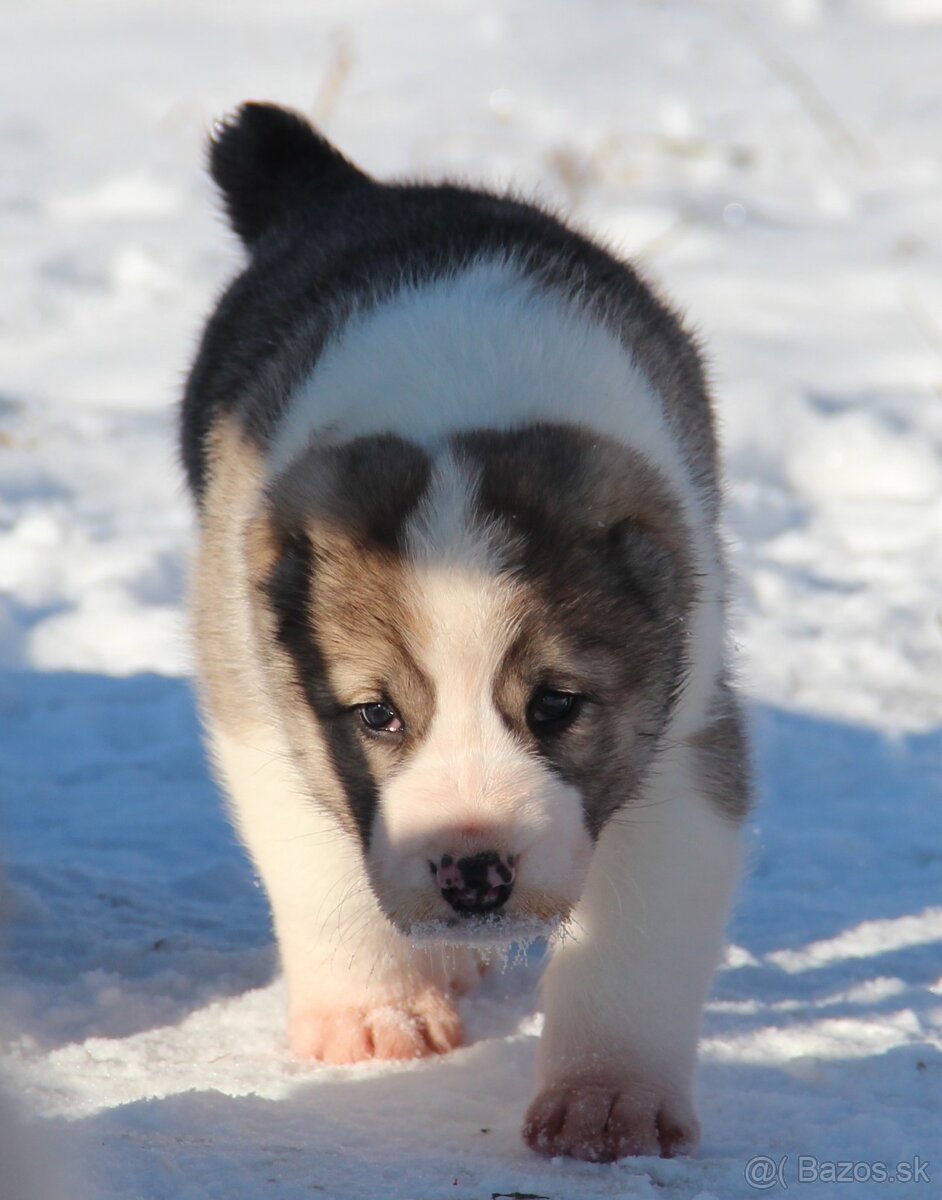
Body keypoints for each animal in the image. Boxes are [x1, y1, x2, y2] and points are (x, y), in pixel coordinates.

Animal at [182, 103, 748, 1161]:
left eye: (557, 705)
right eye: (376, 716)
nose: (474, 872)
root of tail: (354, 189)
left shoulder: (687, 729)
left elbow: (638, 944)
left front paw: (609, 1100)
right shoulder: (257, 696)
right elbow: (317, 866)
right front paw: (374, 1015)